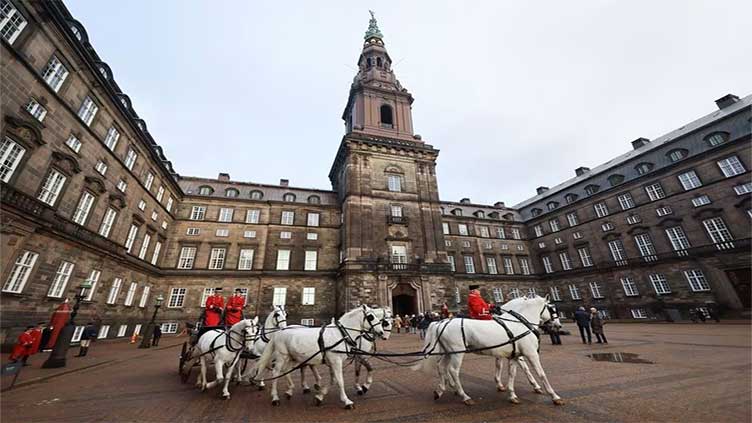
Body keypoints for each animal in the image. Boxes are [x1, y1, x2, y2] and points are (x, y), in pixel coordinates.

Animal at [256, 306, 390, 410]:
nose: (382, 333)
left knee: (286, 371)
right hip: (281, 356)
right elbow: (340, 381)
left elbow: (334, 380)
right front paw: (347, 401)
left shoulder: (333, 361)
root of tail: (279, 331)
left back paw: (290, 390)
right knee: (275, 373)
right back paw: (275, 397)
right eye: (370, 317)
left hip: (292, 357)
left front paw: (320, 396)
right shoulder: (336, 361)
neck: (340, 334)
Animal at [412, 294, 564, 408]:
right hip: (457, 353)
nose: (558, 325)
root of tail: (442, 322)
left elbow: (512, 374)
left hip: (448, 352)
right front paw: (554, 396)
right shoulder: (531, 354)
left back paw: (441, 390)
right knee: (453, 371)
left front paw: (511, 394)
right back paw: (464, 396)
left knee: (441, 367)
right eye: (552, 309)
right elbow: (541, 374)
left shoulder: (513, 355)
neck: (519, 323)